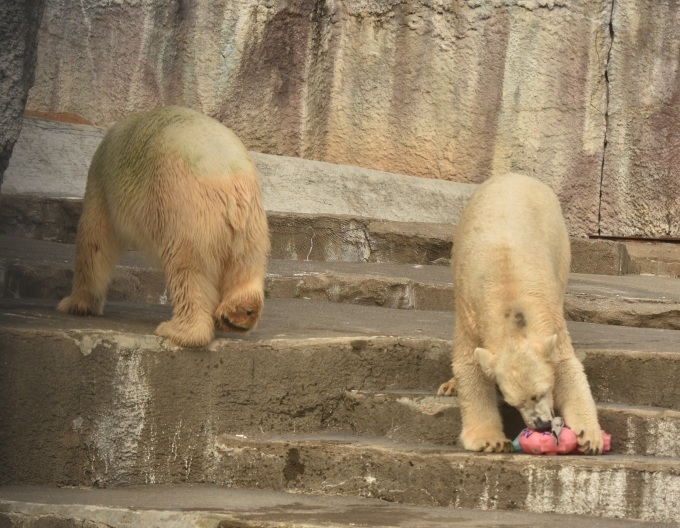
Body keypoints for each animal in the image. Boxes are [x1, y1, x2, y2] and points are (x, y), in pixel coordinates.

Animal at [57, 105, 270, 348]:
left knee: (188, 268)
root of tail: (229, 183)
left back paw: (179, 331)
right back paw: (240, 313)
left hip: (182, 205)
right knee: (247, 264)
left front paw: (75, 304)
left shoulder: (102, 177)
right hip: (252, 223)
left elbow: (95, 240)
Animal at [438, 172, 604, 454]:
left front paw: (589, 436)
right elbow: (469, 364)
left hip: (561, 248)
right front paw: (490, 440)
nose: (541, 425)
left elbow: (566, 365)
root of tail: (514, 175)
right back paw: (450, 386)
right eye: (513, 402)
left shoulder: (550, 315)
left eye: (542, 392)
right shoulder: (470, 314)